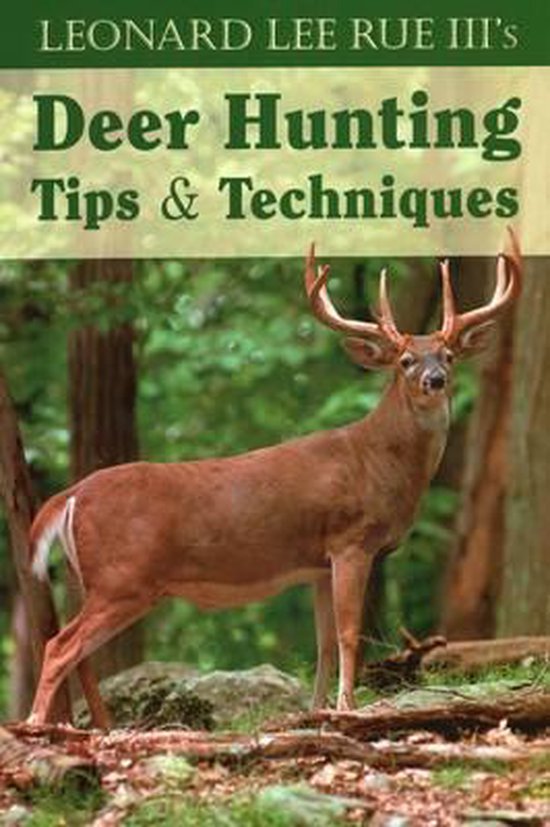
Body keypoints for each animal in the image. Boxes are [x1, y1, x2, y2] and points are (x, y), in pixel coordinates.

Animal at [27, 230, 521, 728]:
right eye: (404, 360)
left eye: (448, 355)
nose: (435, 380)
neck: (376, 460)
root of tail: (69, 495)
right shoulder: (351, 541)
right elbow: (349, 634)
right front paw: (347, 708)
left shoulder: (320, 562)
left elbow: (323, 645)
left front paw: (318, 709)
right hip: (122, 577)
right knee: (59, 646)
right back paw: (36, 724)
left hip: (96, 580)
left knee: (80, 654)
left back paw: (103, 729)